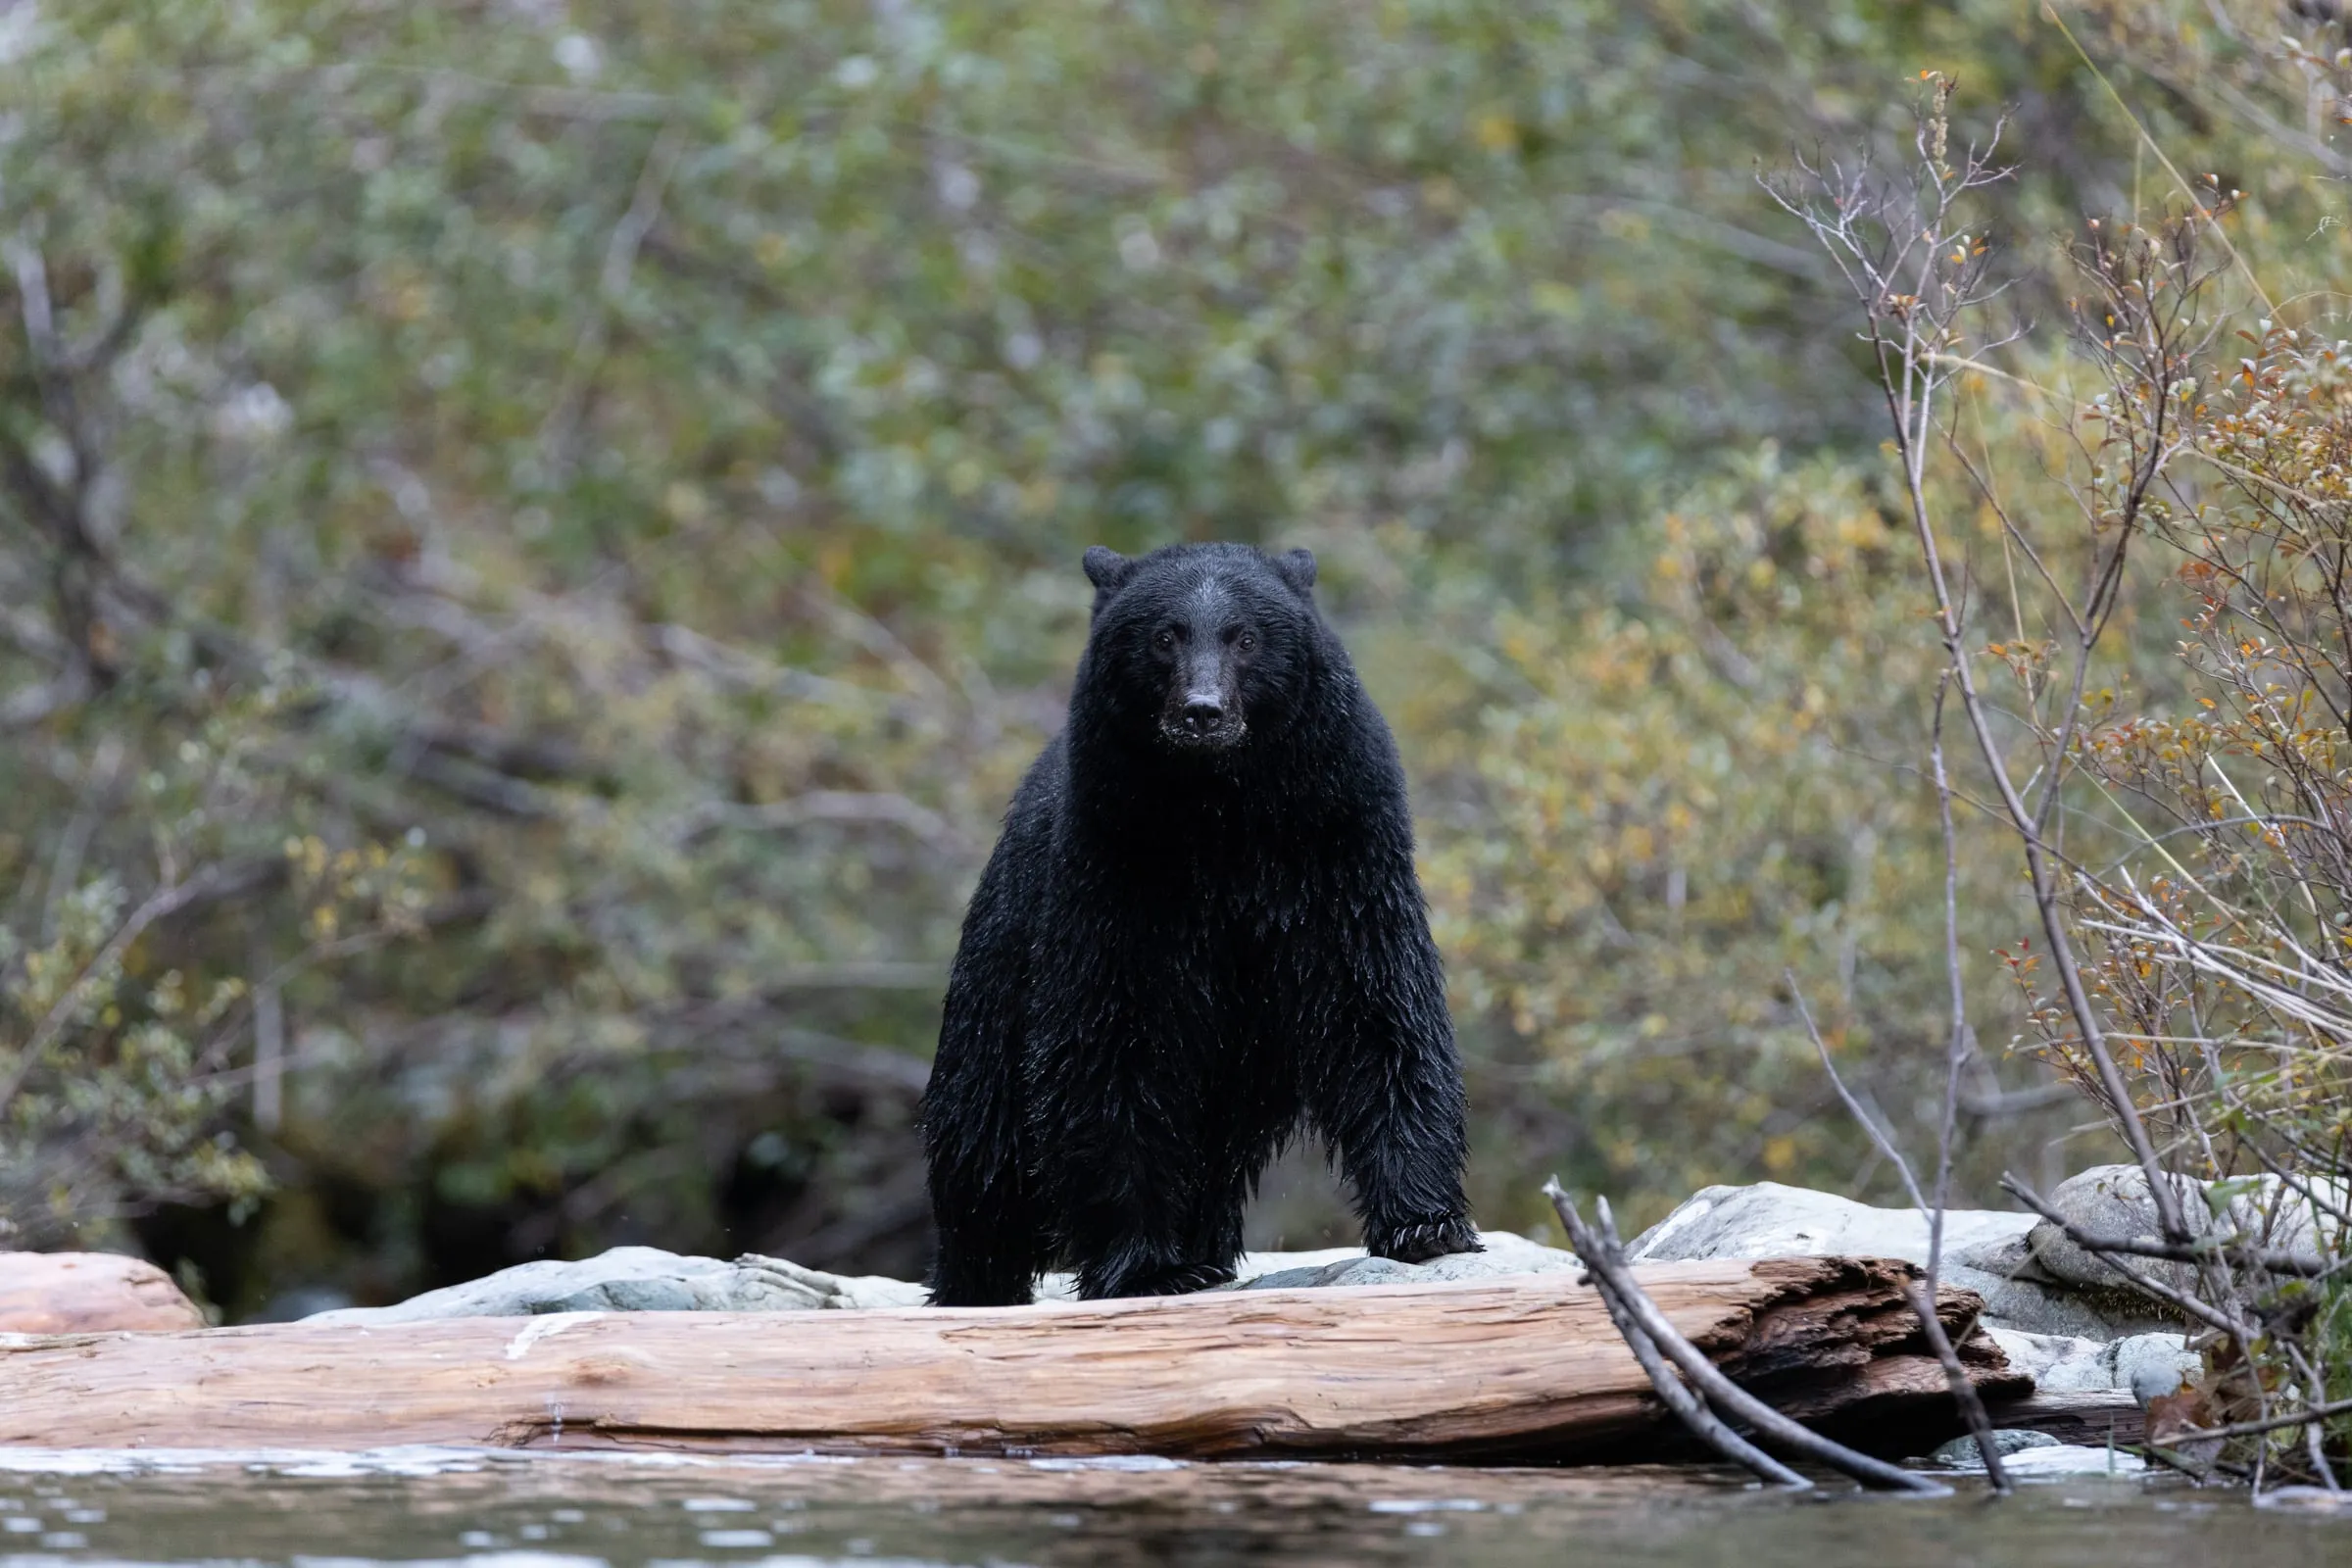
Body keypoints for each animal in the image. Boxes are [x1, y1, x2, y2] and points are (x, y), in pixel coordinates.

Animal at [920, 541, 1479, 1306]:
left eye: (1246, 637)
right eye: (1164, 636)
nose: (1202, 711)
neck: (1221, 812)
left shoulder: (1340, 851)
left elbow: (1379, 1007)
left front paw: (1427, 1223)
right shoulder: (1117, 871)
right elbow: (1110, 1042)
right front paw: (1146, 1265)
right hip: (996, 978)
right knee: (982, 1143)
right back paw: (977, 1282)